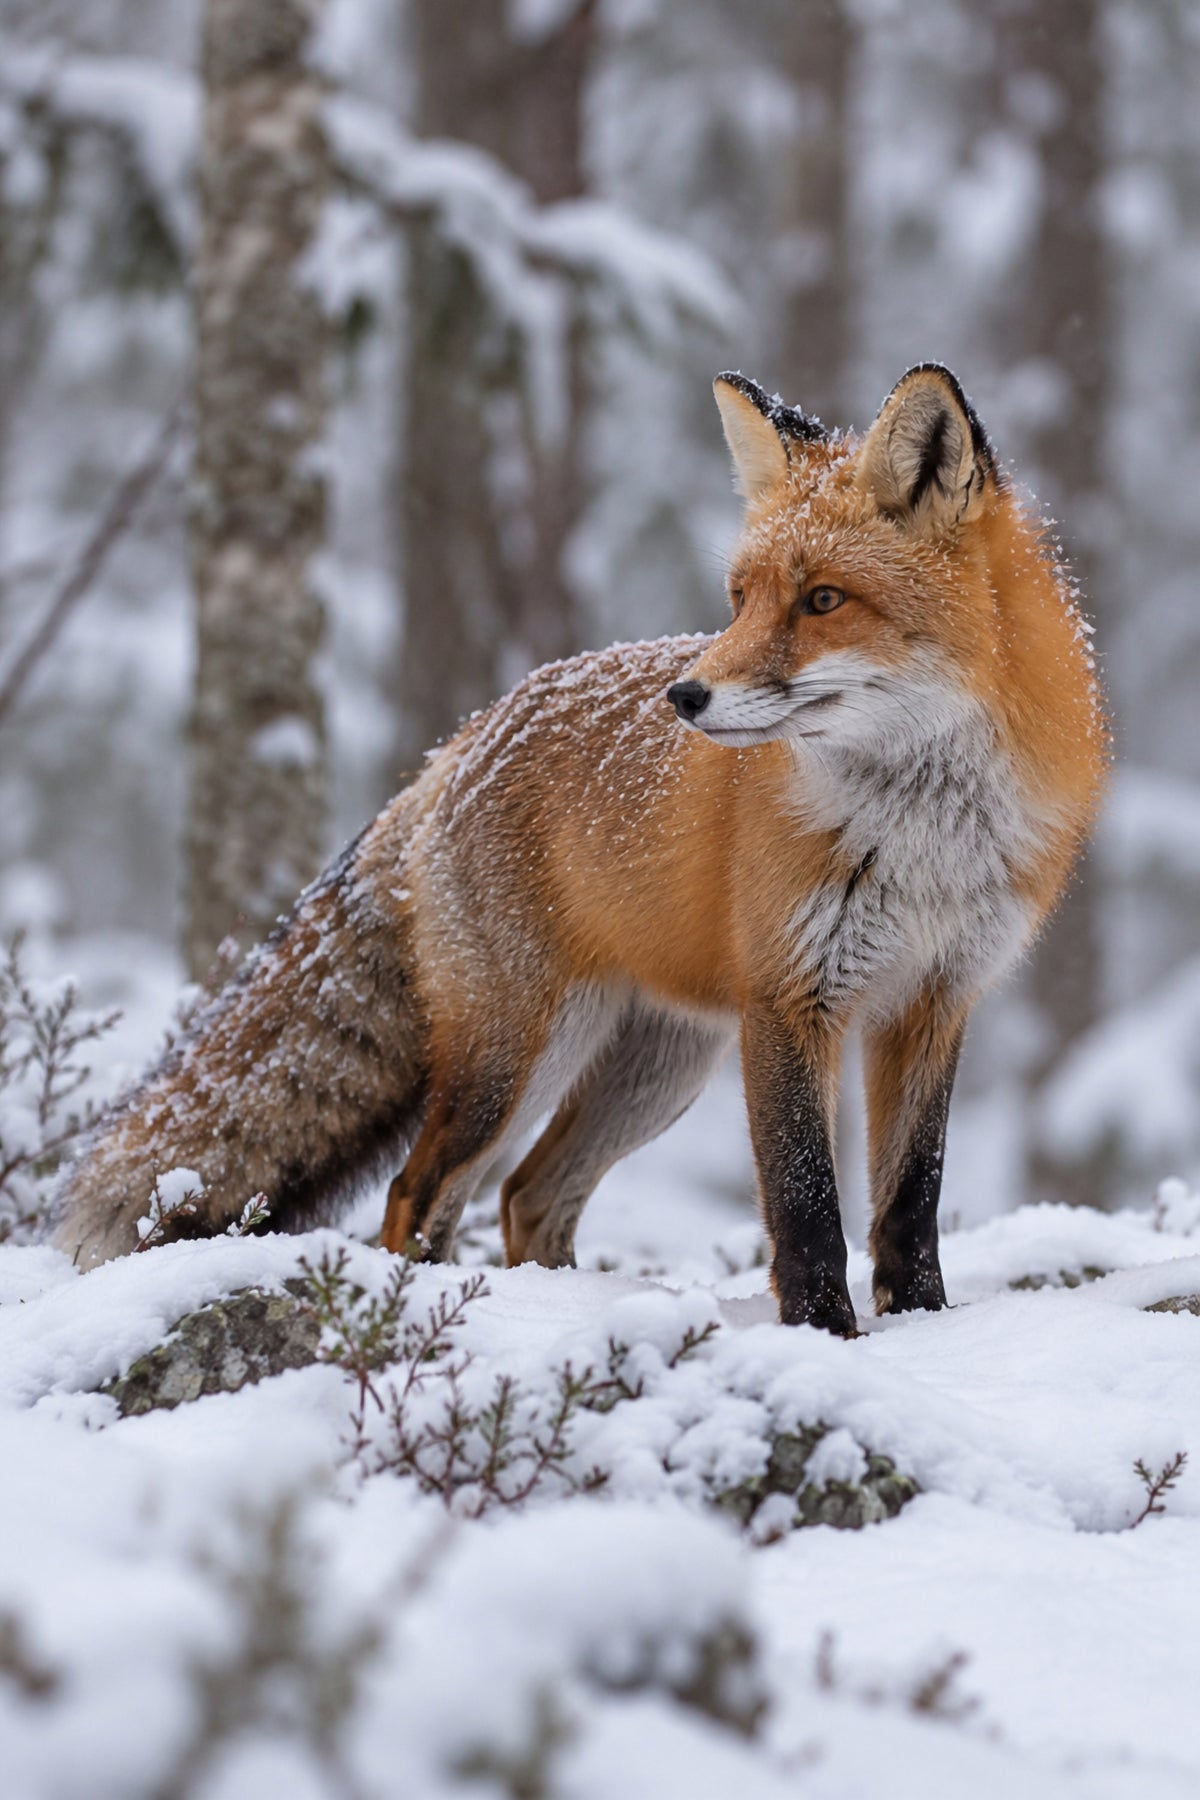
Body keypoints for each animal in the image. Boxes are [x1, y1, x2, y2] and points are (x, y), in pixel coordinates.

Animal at [55, 363, 1107, 1334]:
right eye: (738, 597)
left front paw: (923, 1325)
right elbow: (806, 1205)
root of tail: (461, 741)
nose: (684, 697)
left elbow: (911, 1202)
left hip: (656, 1069)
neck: (924, 834)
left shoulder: (935, 1000)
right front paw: (823, 1338)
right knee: (420, 1191)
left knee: (530, 1197)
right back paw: (423, 1308)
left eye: (822, 600)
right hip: (517, 1056)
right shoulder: (790, 999)